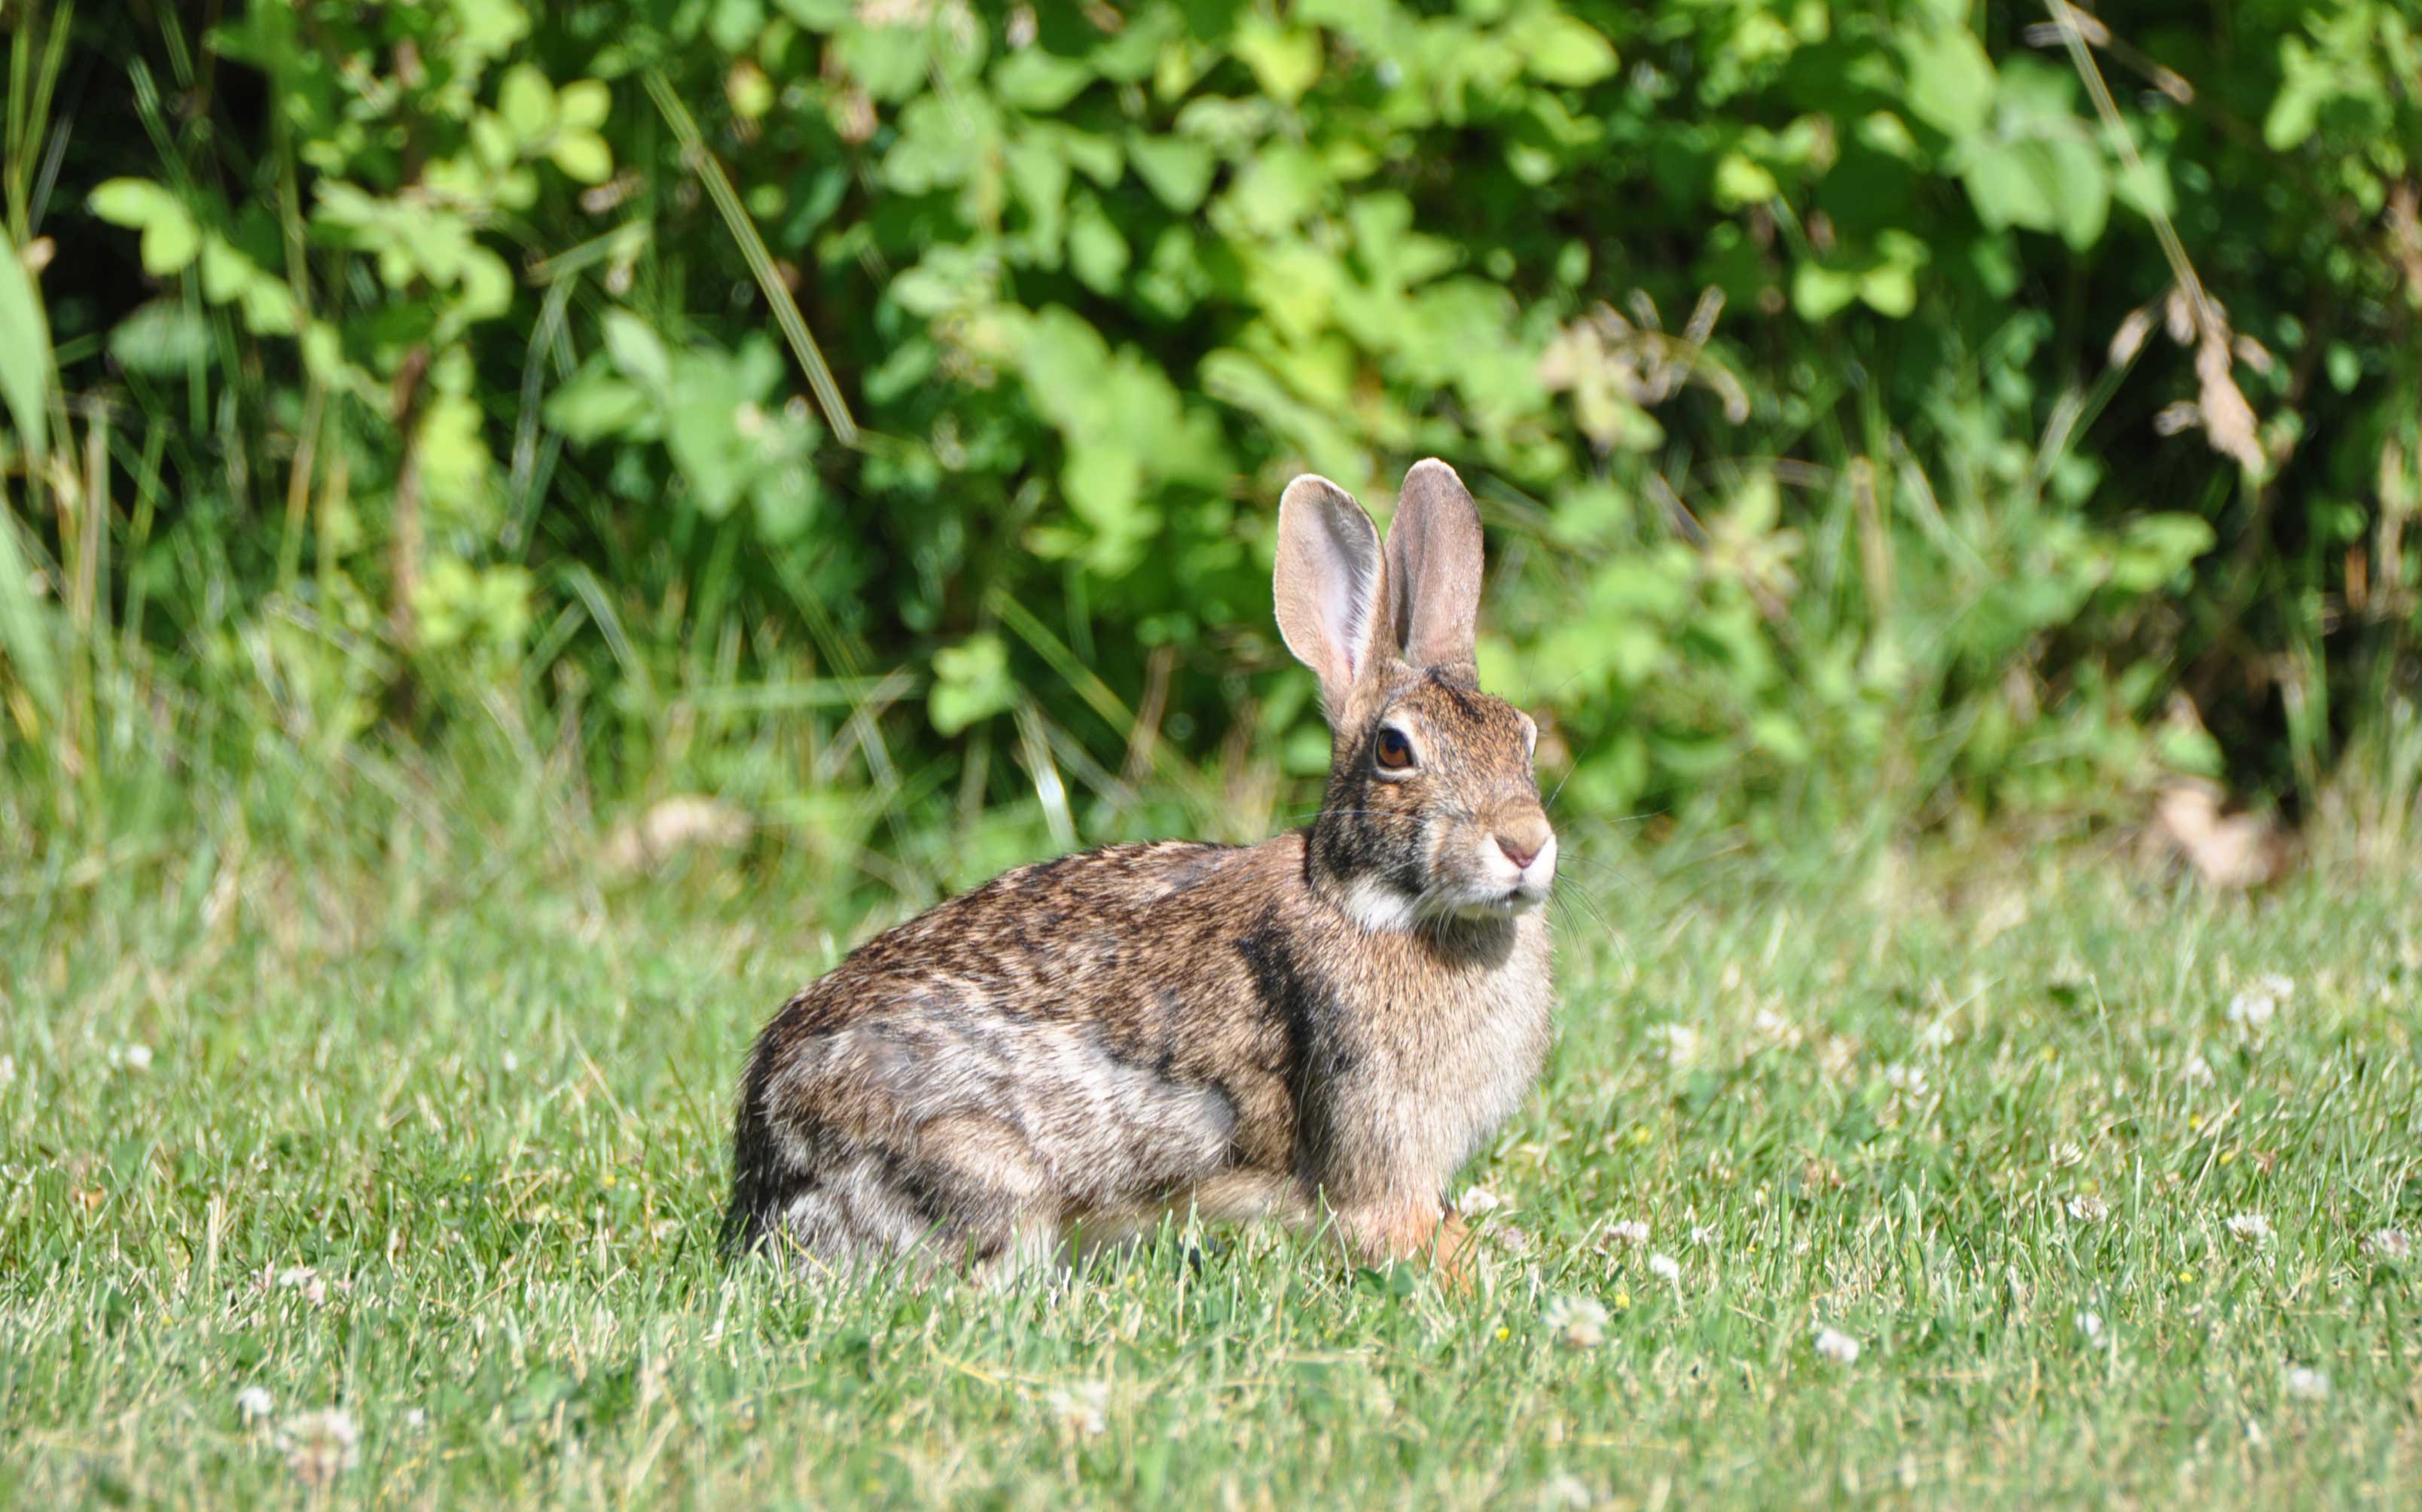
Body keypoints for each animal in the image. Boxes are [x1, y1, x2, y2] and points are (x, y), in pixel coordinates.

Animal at [716, 460, 1560, 1288]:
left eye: (1524, 735)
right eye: (1393, 749)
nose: (1526, 844)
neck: (1368, 902)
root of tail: (762, 1170)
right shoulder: (1378, 1161)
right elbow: (1404, 1229)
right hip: (980, 1168)